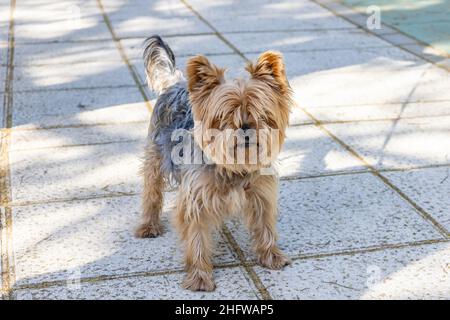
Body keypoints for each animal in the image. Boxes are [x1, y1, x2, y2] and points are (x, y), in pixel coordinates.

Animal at [135, 36, 294, 292]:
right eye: (224, 117)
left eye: (261, 114)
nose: (245, 127)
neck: (235, 167)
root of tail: (176, 84)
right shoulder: (195, 199)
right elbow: (197, 236)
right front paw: (200, 275)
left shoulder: (261, 193)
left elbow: (265, 225)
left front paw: (270, 255)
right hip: (156, 153)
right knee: (152, 189)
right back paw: (149, 225)